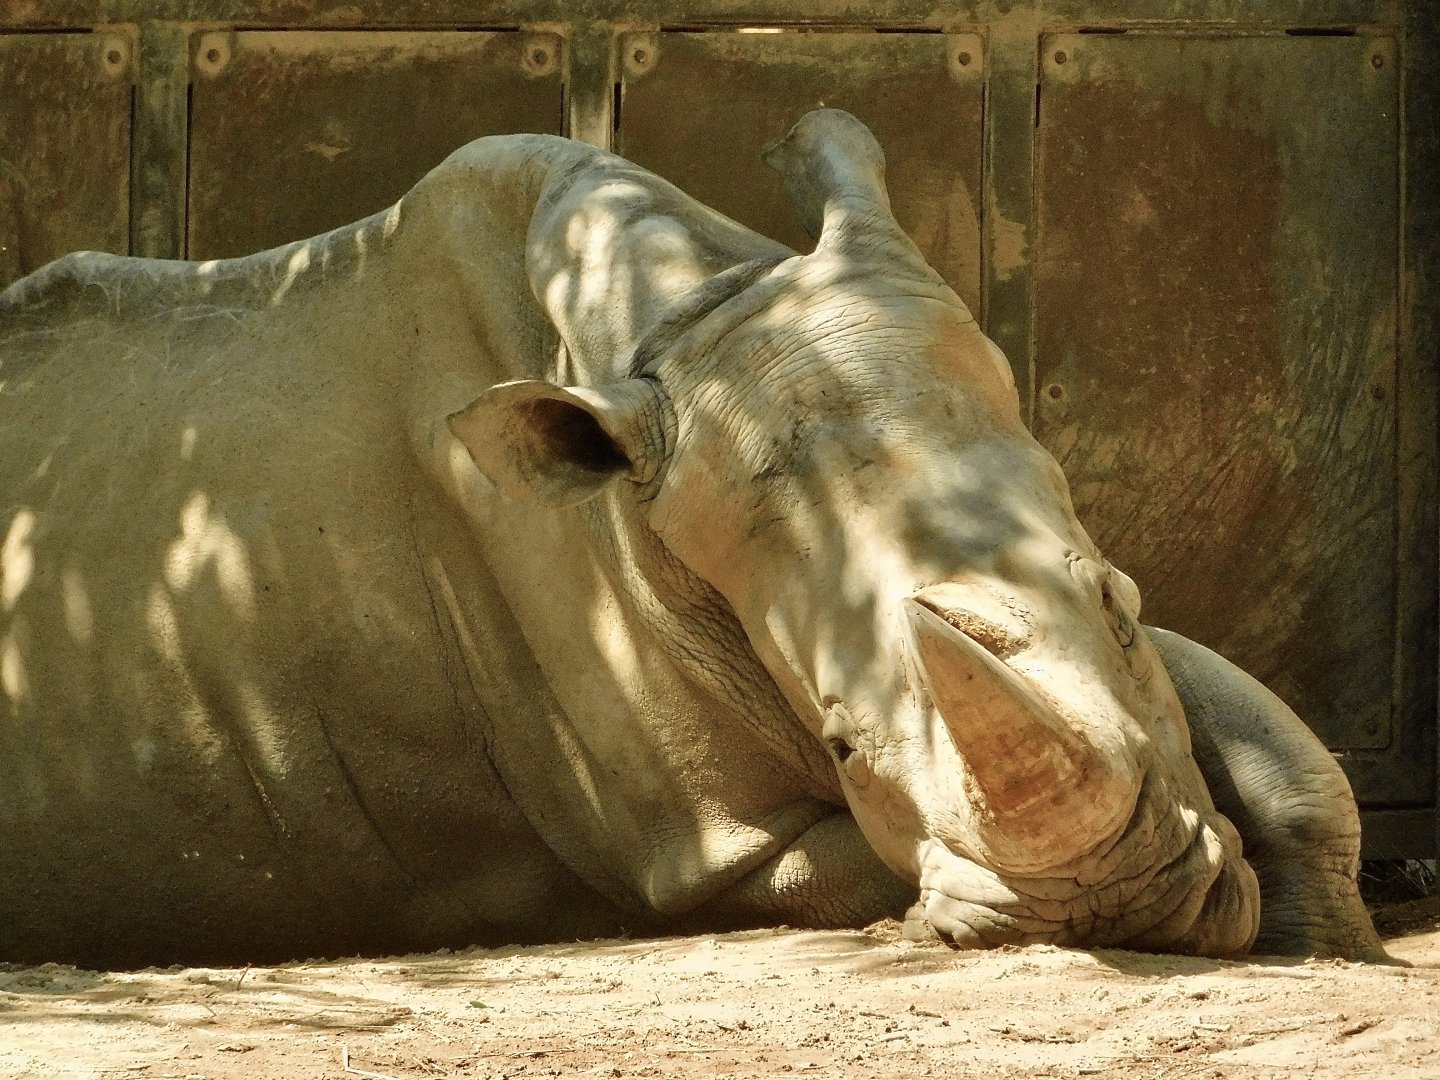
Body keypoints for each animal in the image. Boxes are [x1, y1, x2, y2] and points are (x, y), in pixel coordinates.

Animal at [0, 110, 1389, 968]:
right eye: (841, 740)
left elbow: (1274, 742)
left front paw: (1326, 935)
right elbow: (851, 858)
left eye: (1119, 602)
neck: (692, 313)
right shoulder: (708, 842)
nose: (1114, 907)